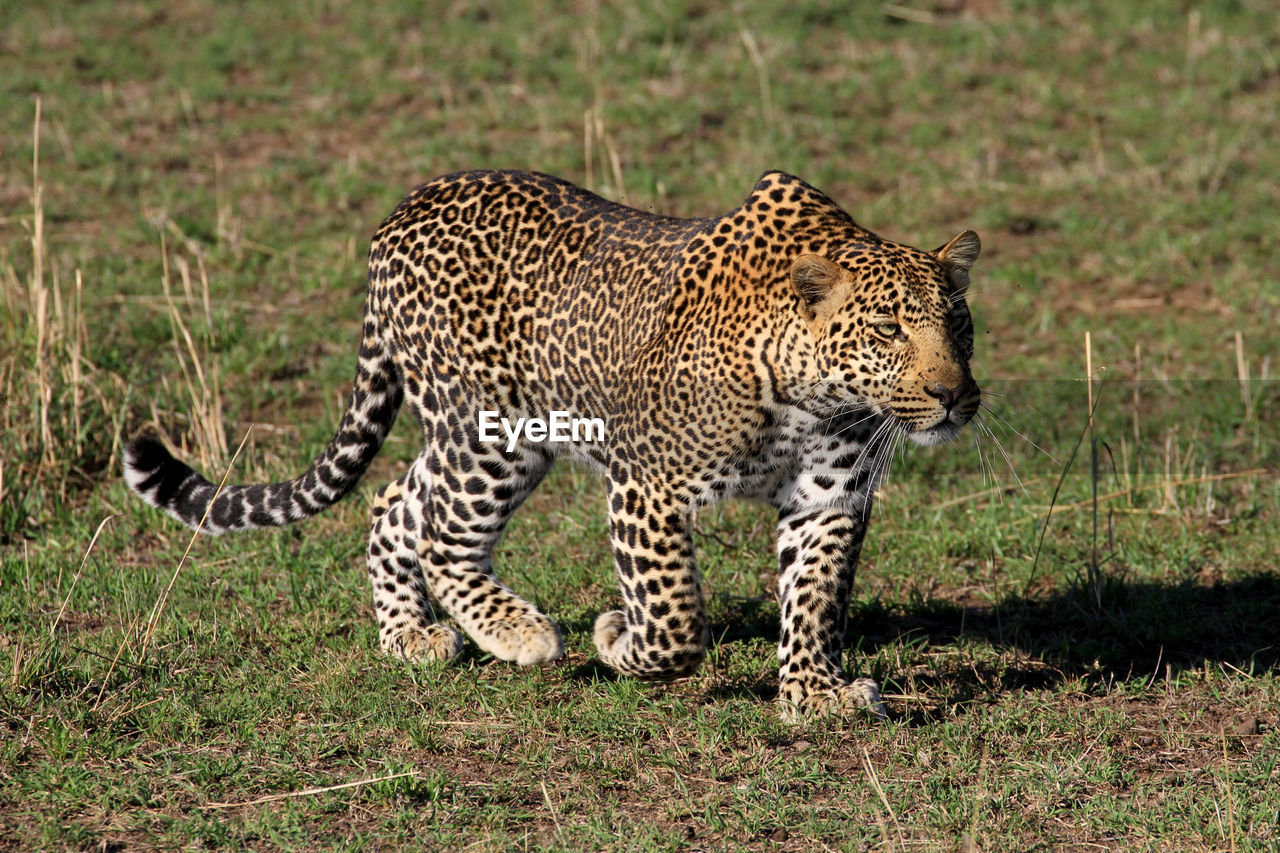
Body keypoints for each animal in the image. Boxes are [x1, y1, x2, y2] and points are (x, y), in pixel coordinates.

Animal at [124, 167, 977, 717]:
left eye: (957, 323)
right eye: (887, 328)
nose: (952, 394)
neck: (816, 391)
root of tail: (400, 212)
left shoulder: (829, 495)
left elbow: (816, 596)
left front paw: (813, 692)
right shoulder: (647, 485)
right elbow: (676, 617)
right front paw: (616, 637)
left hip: (476, 430)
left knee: (394, 500)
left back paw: (409, 635)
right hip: (493, 433)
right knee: (441, 532)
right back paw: (518, 632)